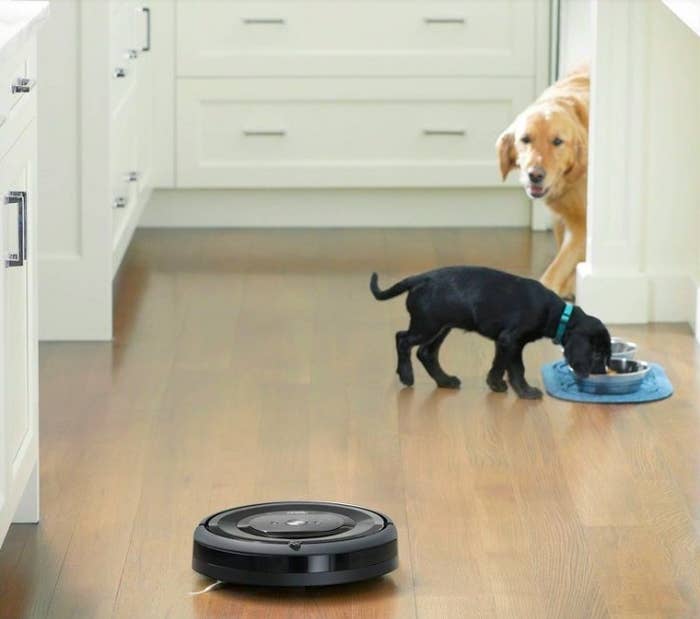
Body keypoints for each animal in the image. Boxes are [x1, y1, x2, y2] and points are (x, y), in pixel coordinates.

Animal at [370, 266, 608, 400]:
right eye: (596, 354)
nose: (602, 375)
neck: (558, 314)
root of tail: (420, 278)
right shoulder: (511, 341)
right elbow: (515, 368)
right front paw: (524, 391)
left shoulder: (505, 343)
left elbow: (502, 365)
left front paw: (499, 385)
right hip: (426, 326)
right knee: (402, 339)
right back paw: (406, 374)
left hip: (441, 327)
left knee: (426, 353)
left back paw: (444, 380)